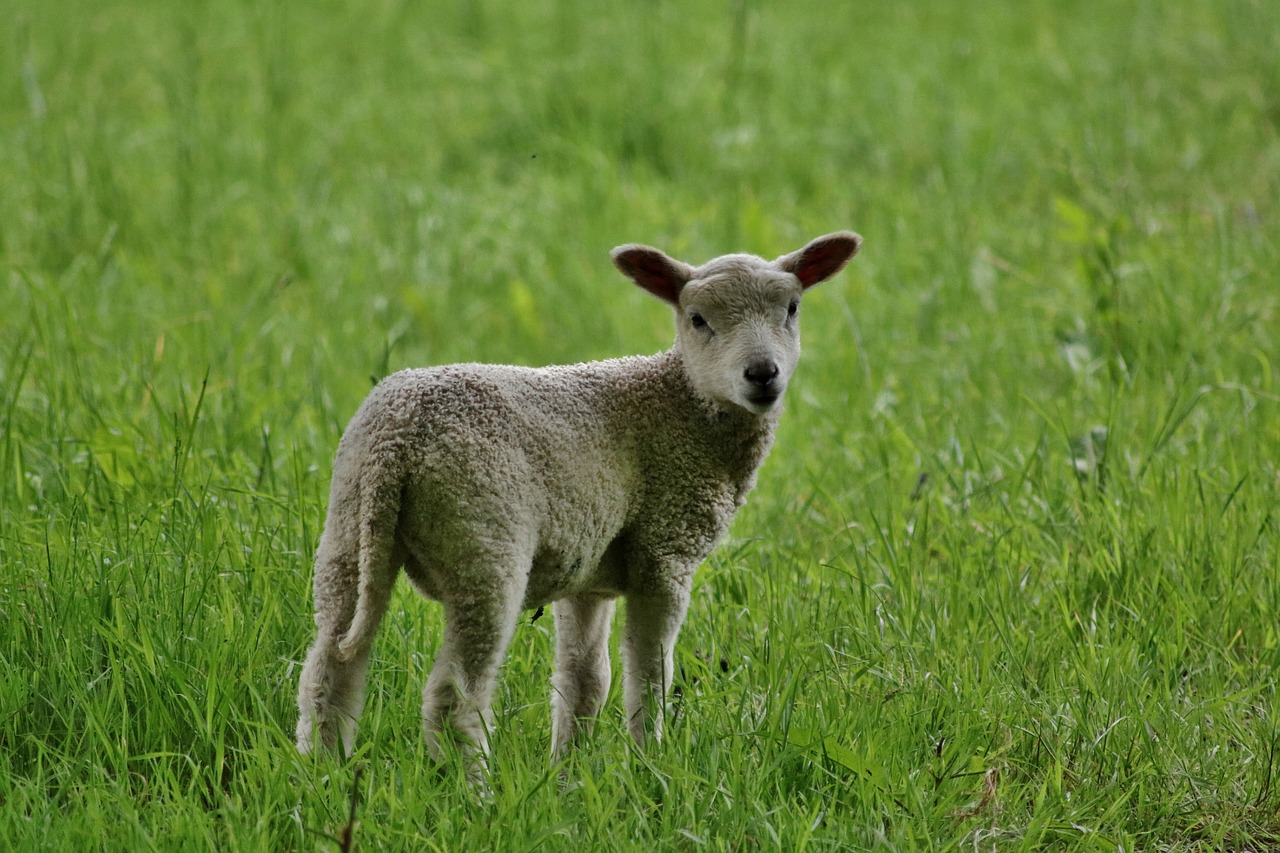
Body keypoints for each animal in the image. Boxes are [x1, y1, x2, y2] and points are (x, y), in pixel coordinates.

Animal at [294, 227, 865, 768]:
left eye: (792, 309)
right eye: (698, 319)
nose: (762, 374)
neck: (683, 405)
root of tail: (398, 439)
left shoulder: (588, 572)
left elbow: (585, 682)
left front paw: (569, 776)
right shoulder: (665, 551)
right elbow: (650, 677)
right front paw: (649, 767)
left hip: (348, 529)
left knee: (330, 671)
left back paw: (324, 774)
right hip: (484, 542)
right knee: (455, 697)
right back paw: (471, 790)